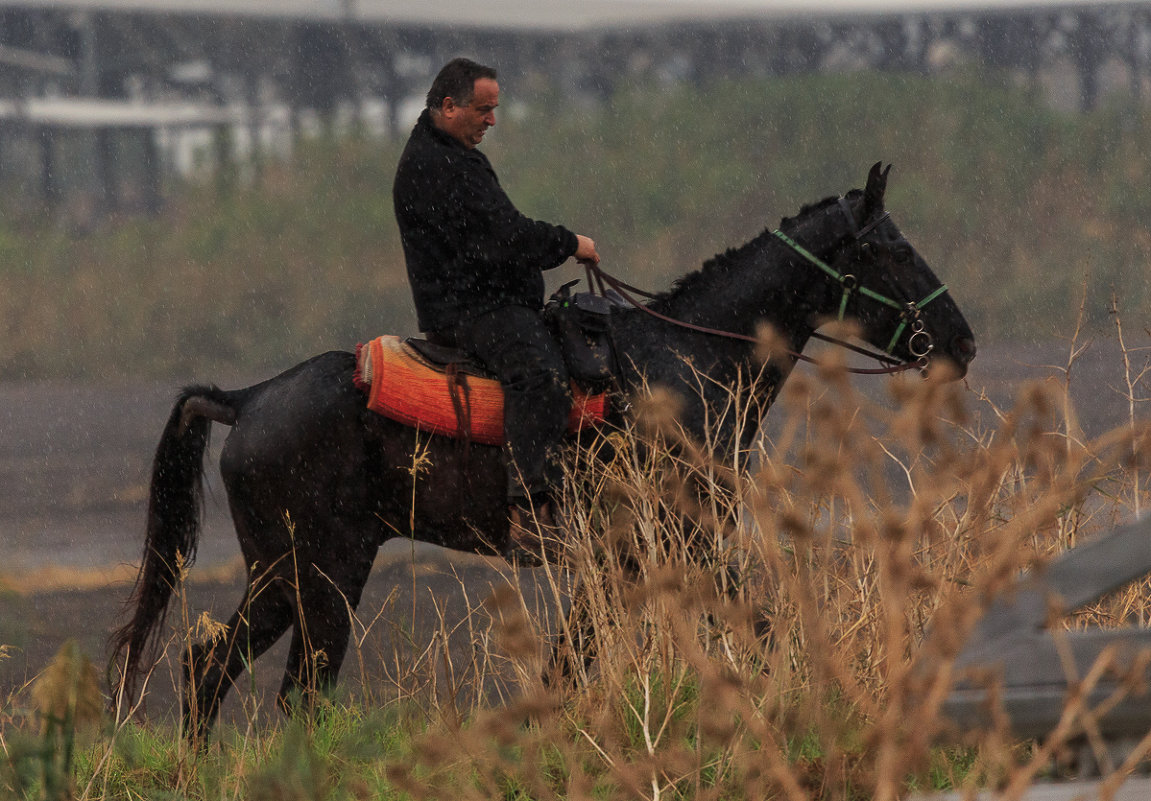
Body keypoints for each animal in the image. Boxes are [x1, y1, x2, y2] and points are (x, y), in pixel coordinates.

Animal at [109, 164, 971, 736]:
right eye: (892, 250)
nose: (960, 341)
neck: (681, 362)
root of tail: (249, 397)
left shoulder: (637, 556)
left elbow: (577, 662)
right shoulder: (679, 539)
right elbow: (755, 629)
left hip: (283, 574)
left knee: (210, 667)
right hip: (322, 570)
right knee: (292, 689)